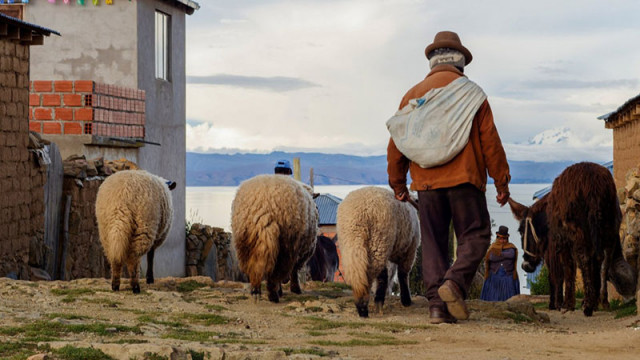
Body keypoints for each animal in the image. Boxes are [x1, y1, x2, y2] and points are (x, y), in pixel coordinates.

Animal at [231, 173, 318, 302]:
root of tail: (264, 204)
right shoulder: (300, 252)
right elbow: (294, 272)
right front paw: (295, 289)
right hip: (286, 243)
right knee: (275, 272)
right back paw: (273, 295)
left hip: (246, 239)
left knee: (253, 266)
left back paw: (255, 290)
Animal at [336, 187, 420, 316]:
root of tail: (359, 213)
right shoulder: (410, 249)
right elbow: (403, 274)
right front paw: (406, 300)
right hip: (379, 242)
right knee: (373, 274)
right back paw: (366, 305)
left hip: (351, 244)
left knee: (358, 272)